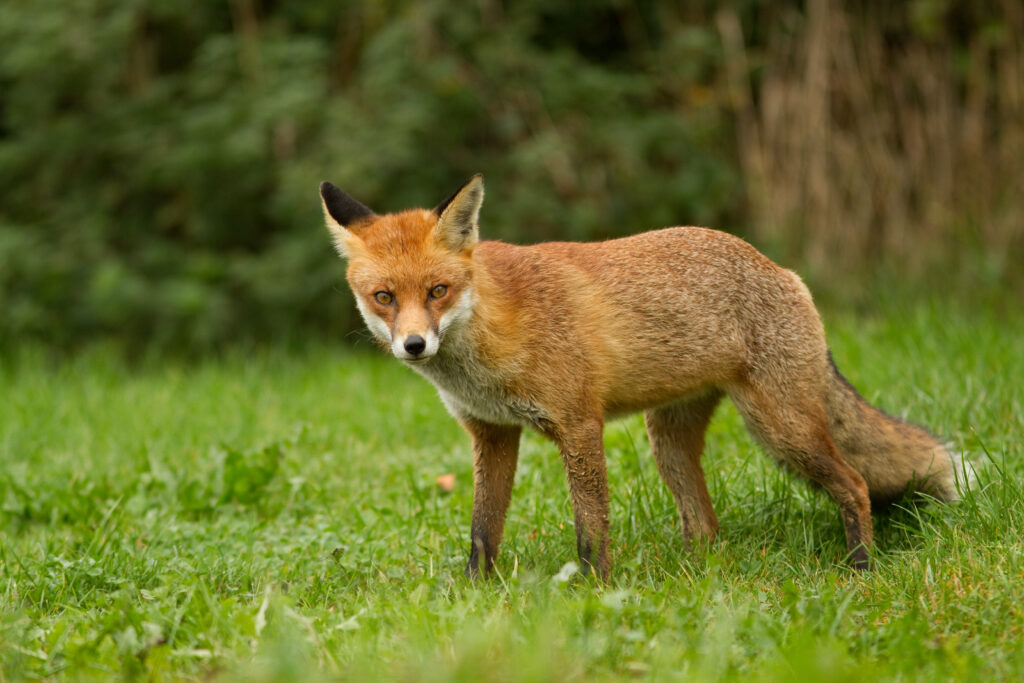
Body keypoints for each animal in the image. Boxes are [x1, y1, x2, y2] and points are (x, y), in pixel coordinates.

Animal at [319, 173, 968, 579]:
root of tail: (781, 269)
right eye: (383, 297)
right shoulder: (493, 433)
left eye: (437, 290)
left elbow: (590, 528)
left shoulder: (579, 424)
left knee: (854, 483)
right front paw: (476, 596)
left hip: (781, 429)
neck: (487, 347)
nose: (414, 345)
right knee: (705, 525)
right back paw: (698, 579)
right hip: (670, 442)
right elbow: (483, 531)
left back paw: (859, 570)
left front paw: (595, 593)